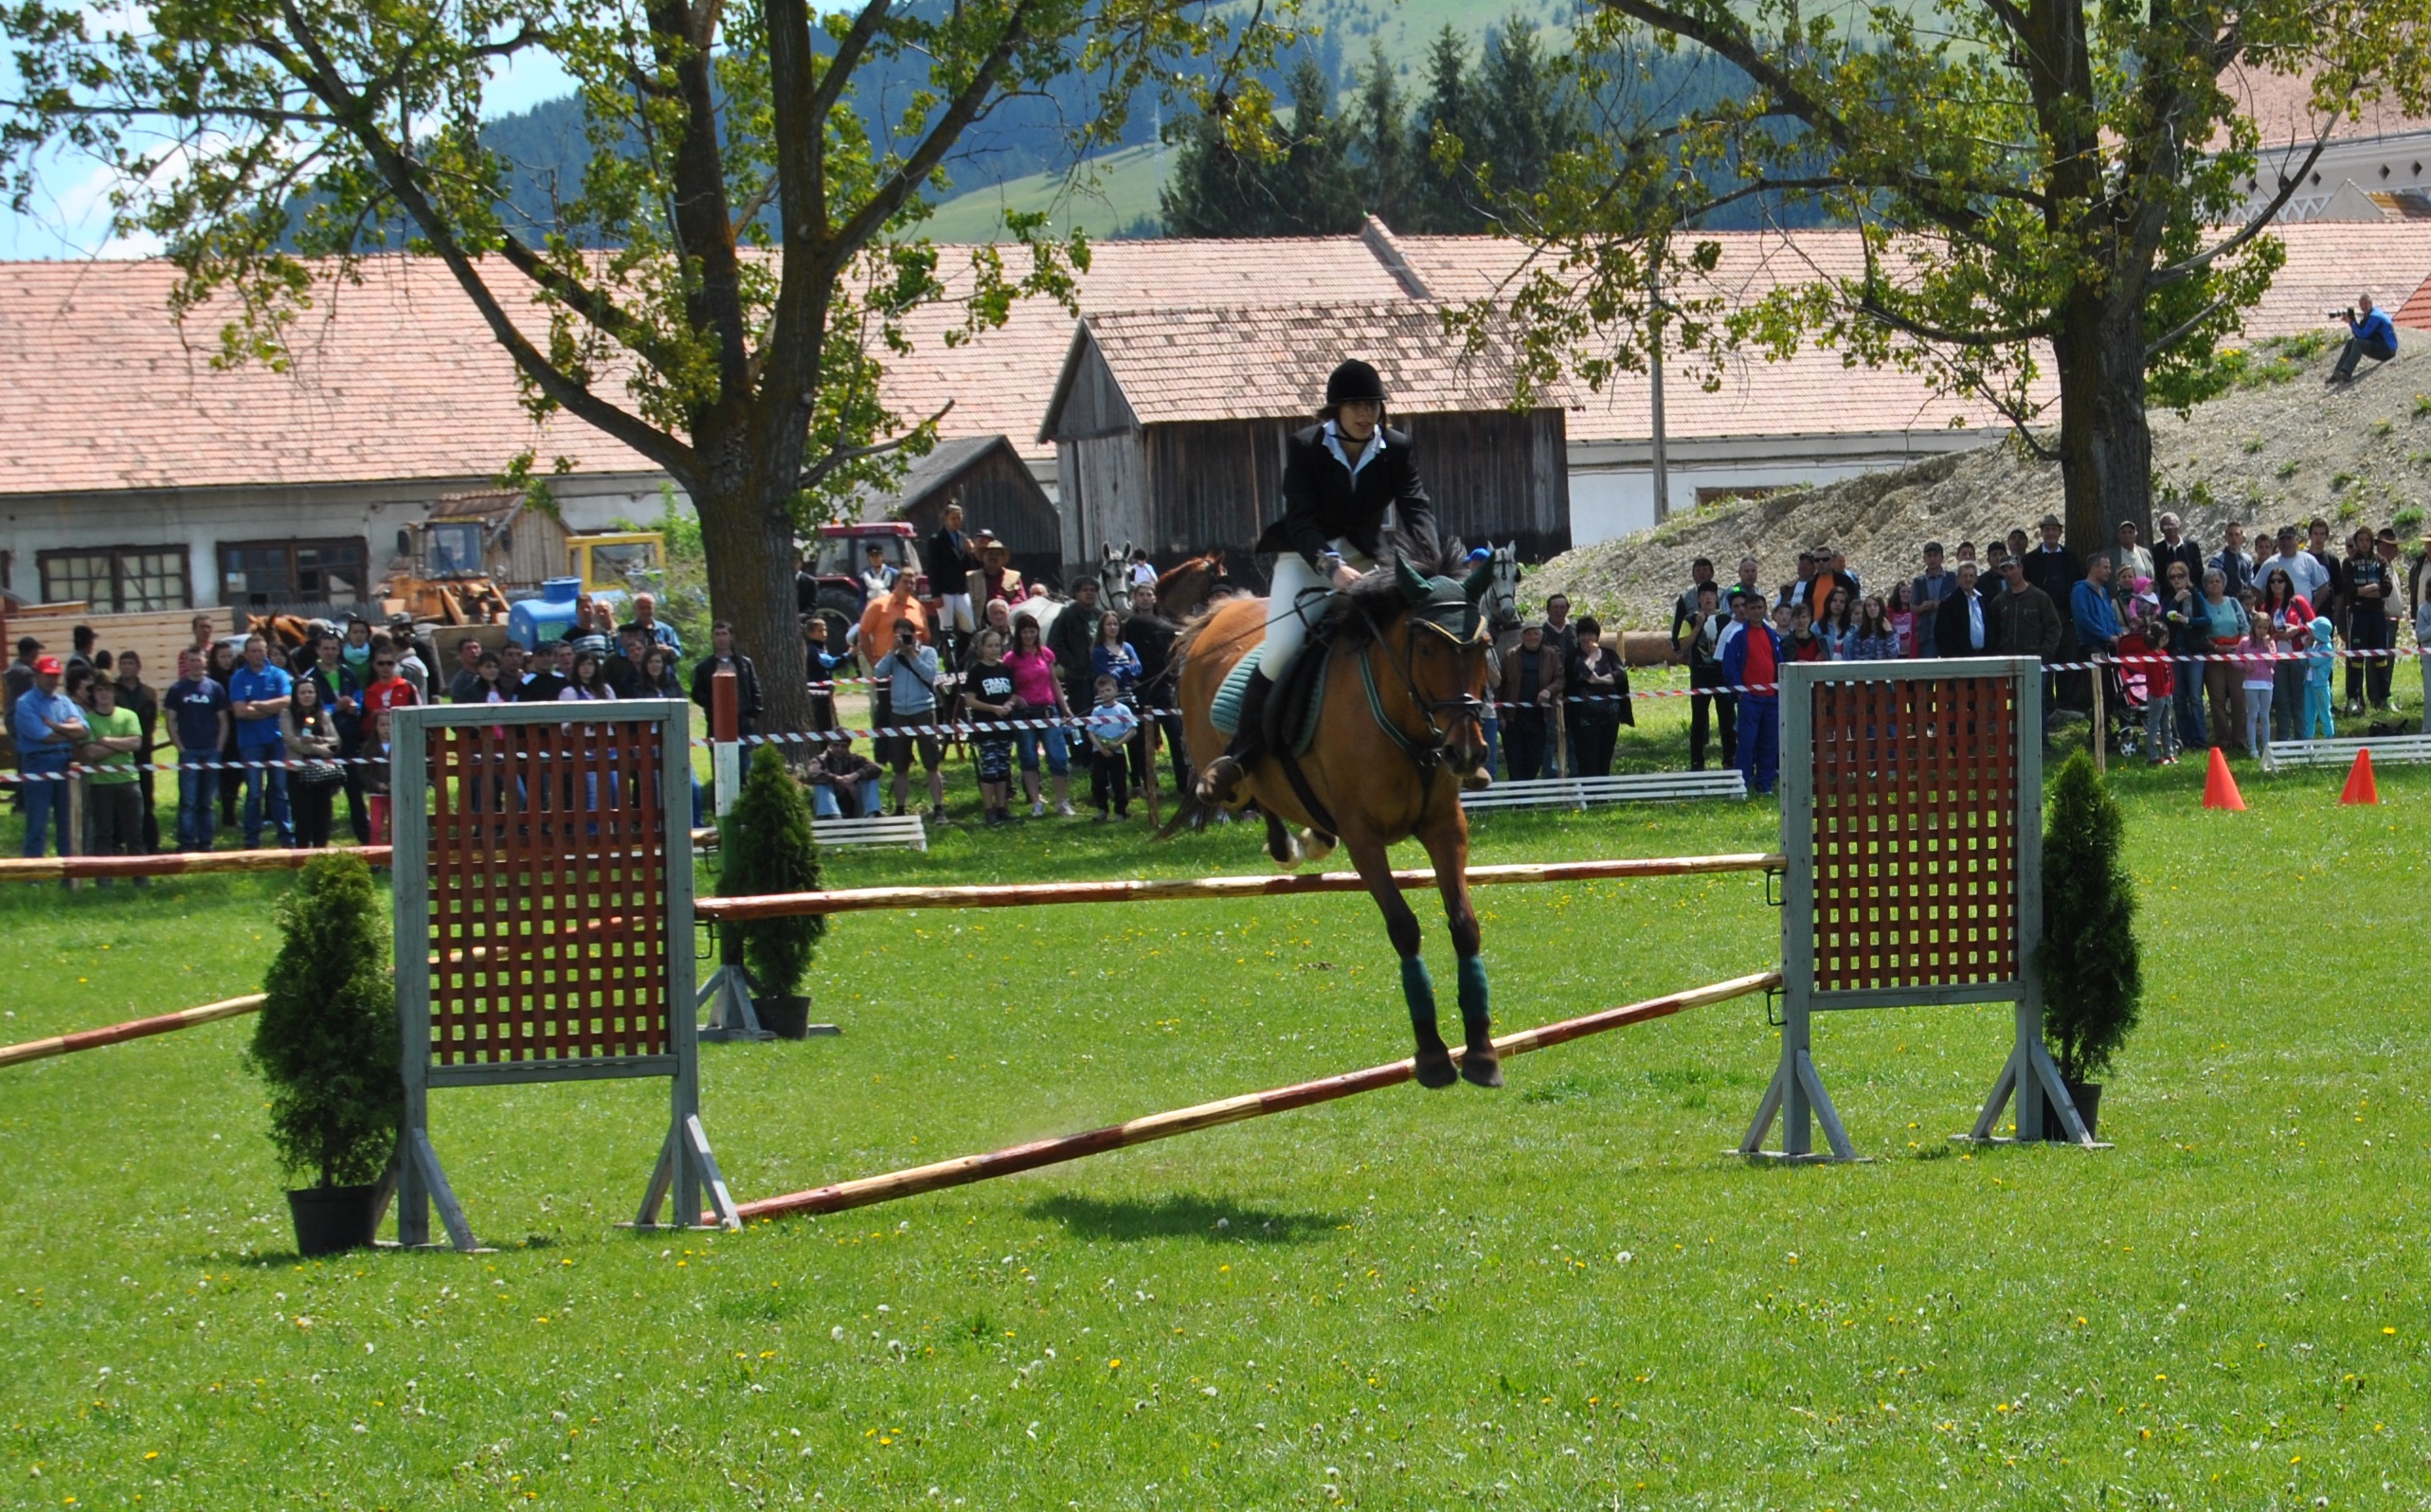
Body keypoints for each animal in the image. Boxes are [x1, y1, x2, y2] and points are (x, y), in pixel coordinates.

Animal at [1171, 551, 1497, 1093]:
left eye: (1483, 648)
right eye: (1426, 645)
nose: (1466, 753)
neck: (1405, 723)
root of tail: (1218, 613)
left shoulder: (1444, 828)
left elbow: (1465, 926)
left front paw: (1481, 1052)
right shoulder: (1364, 838)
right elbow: (1404, 928)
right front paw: (1432, 1056)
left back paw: (1313, 837)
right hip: (1221, 761)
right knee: (1247, 786)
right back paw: (1277, 833)